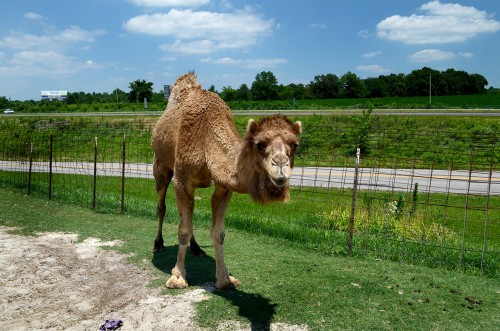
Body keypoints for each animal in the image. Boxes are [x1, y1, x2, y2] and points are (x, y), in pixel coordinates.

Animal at [152, 73, 300, 290]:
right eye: (259, 144)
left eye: (295, 145)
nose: (281, 167)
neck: (206, 141)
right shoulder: (182, 179)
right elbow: (183, 230)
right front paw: (178, 277)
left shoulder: (224, 187)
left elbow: (218, 232)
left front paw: (225, 279)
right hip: (161, 165)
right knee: (162, 205)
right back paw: (158, 244)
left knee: (187, 212)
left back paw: (196, 249)